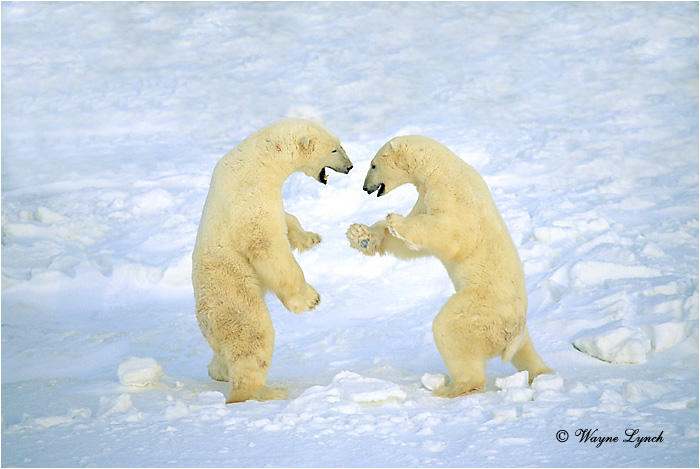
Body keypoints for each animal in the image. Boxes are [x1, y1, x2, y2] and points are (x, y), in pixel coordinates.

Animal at [193, 119, 353, 403]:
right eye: (335, 149)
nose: (350, 166)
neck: (259, 160)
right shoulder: (249, 197)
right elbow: (266, 245)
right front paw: (310, 299)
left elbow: (286, 220)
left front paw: (311, 238)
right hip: (232, 291)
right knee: (253, 335)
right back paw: (264, 391)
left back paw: (218, 371)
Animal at [347, 135, 553, 398]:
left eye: (373, 165)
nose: (366, 187)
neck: (439, 169)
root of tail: (512, 333)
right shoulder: (424, 195)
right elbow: (410, 246)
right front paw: (360, 234)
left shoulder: (453, 195)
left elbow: (451, 235)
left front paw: (396, 220)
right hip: (518, 330)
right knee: (526, 352)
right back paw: (543, 373)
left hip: (480, 309)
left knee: (450, 329)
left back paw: (452, 388)